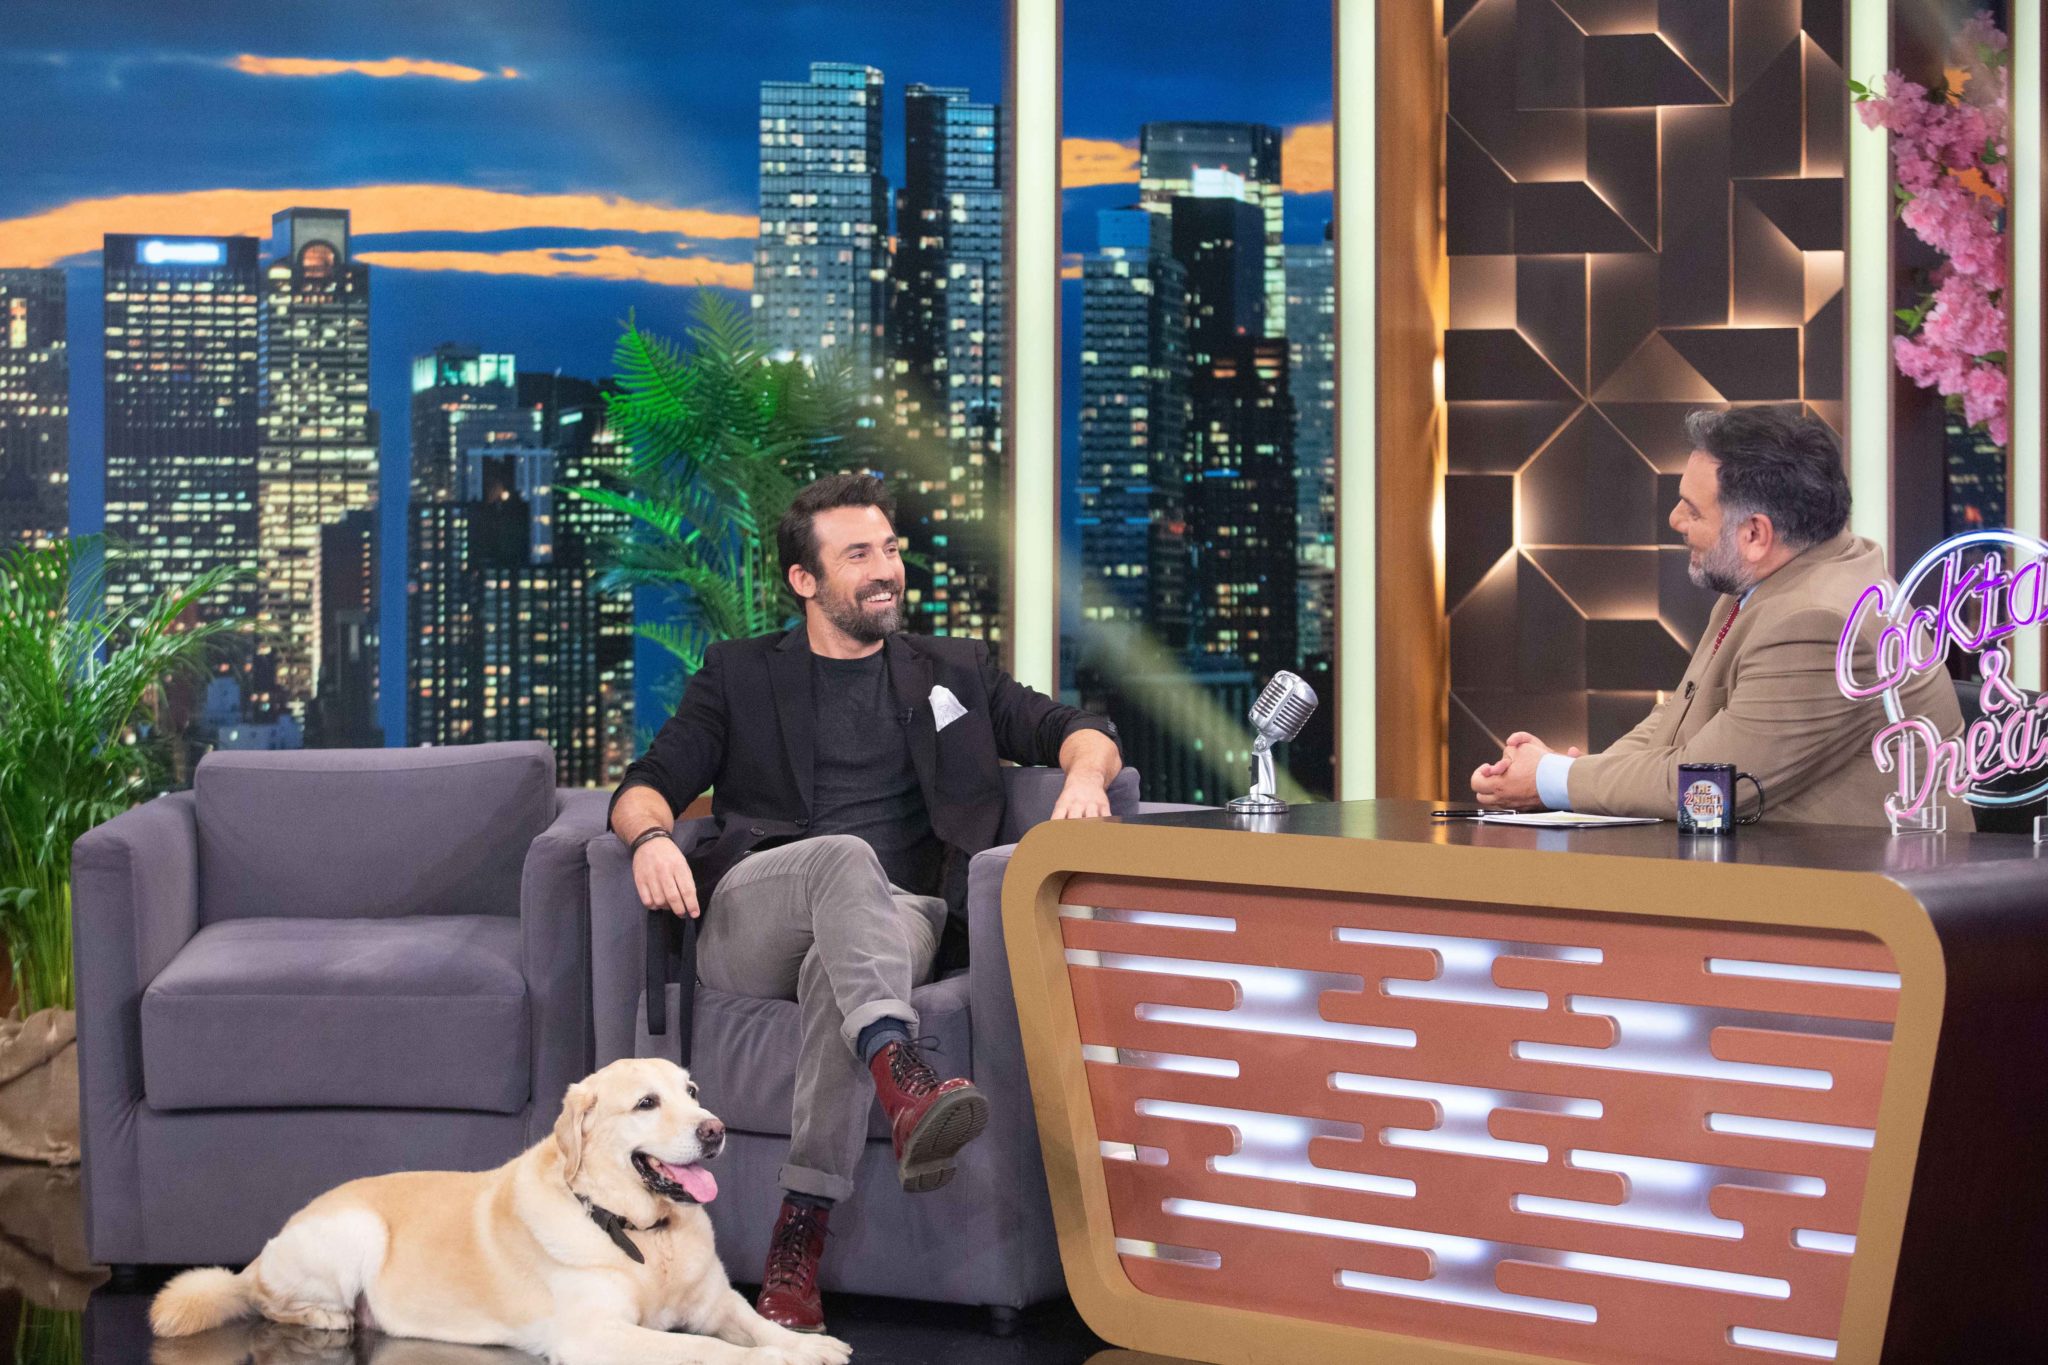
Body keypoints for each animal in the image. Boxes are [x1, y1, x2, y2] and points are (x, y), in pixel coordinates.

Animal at [150, 1059, 852, 1365]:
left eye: (693, 1090)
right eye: (647, 1103)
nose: (715, 1129)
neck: (641, 1231)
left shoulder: (715, 1302)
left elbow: (753, 1323)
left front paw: (807, 1344)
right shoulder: (595, 1334)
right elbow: (703, 1352)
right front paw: (776, 1361)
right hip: (354, 1230)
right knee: (266, 1299)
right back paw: (326, 1315)